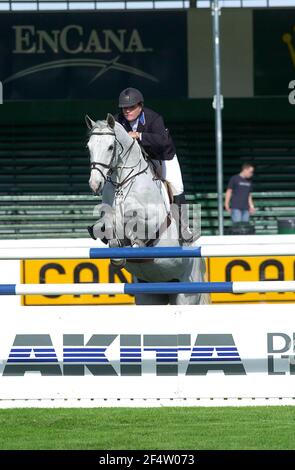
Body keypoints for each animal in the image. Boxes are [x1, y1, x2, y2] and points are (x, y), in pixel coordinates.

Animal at [86, 113, 209, 304]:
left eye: (110, 147)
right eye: (89, 147)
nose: (95, 184)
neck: (122, 183)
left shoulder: (151, 220)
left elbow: (134, 222)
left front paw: (134, 242)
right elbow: (107, 224)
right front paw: (116, 252)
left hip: (187, 294)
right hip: (149, 295)